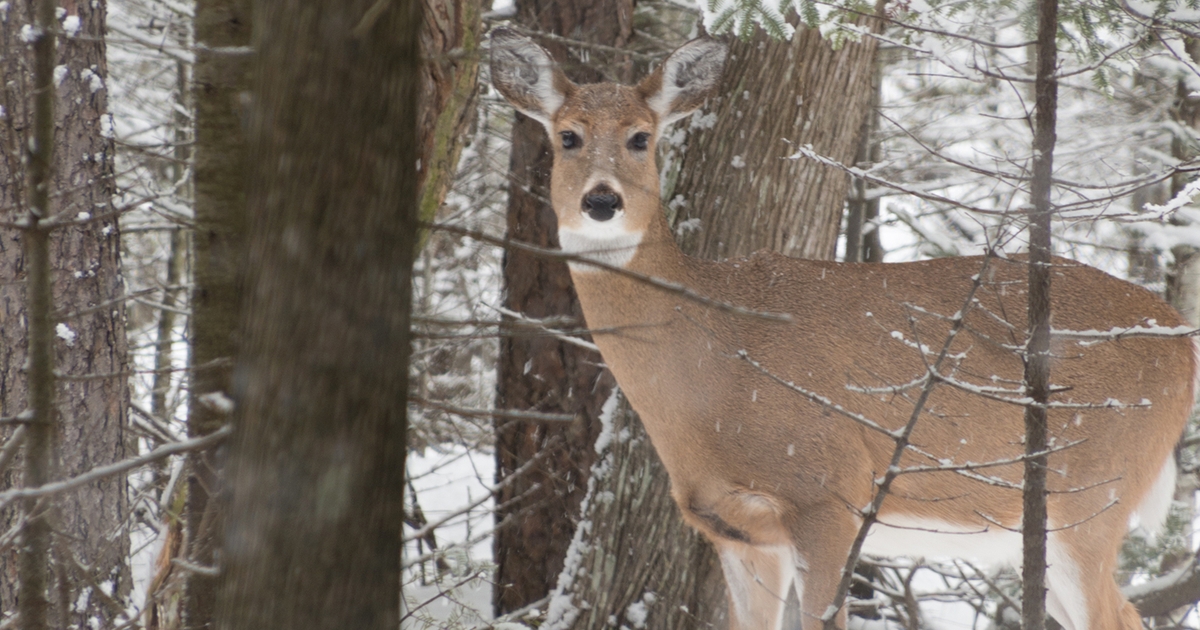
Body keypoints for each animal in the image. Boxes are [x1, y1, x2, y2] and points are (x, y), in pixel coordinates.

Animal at [490, 28, 1198, 630]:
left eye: (641, 137)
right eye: (567, 137)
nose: (601, 201)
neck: (711, 364)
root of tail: (1181, 334)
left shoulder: (828, 495)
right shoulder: (737, 530)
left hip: (1091, 494)